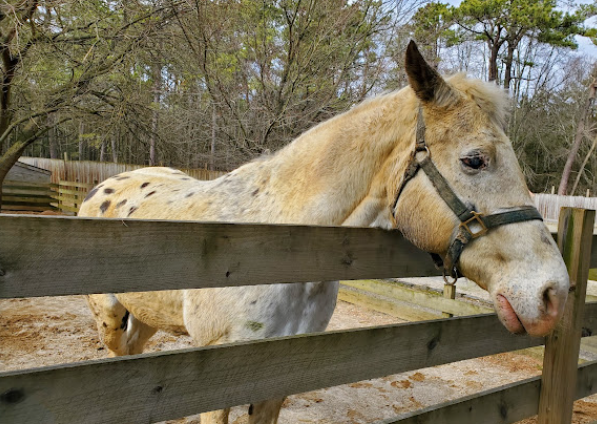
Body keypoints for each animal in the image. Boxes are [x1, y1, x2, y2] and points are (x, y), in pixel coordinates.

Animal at [79, 42, 568, 424]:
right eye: (474, 160)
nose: (553, 294)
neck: (281, 251)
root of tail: (104, 188)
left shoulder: (276, 378)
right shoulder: (215, 383)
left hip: (145, 318)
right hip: (110, 320)